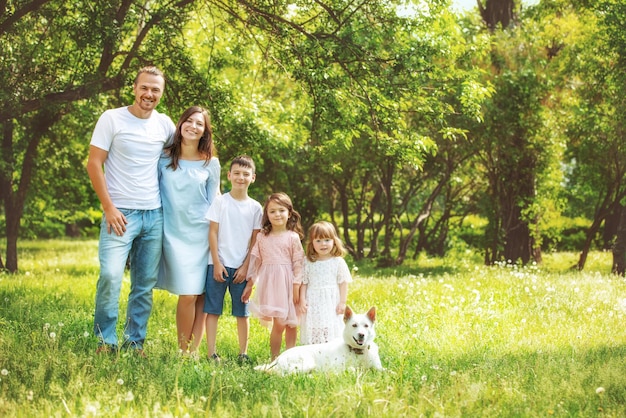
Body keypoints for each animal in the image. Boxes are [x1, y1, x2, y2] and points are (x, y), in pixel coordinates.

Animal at [252, 306, 380, 374]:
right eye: (354, 325)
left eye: (366, 326)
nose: (361, 335)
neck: (358, 352)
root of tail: (278, 358)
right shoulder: (335, 368)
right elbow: (352, 369)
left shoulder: (379, 369)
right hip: (307, 363)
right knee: (287, 374)